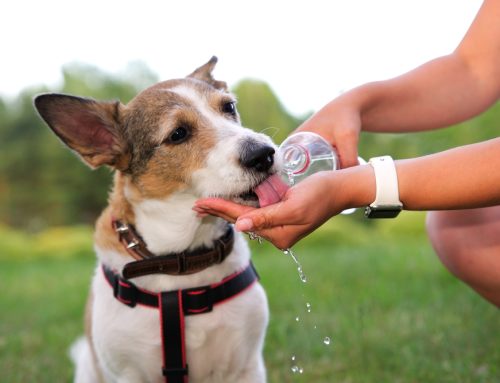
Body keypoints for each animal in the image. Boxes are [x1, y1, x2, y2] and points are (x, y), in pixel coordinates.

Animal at [34, 57, 278, 383]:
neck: (182, 262)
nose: (264, 154)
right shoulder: (127, 373)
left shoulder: (246, 367)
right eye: (178, 134)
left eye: (228, 107)